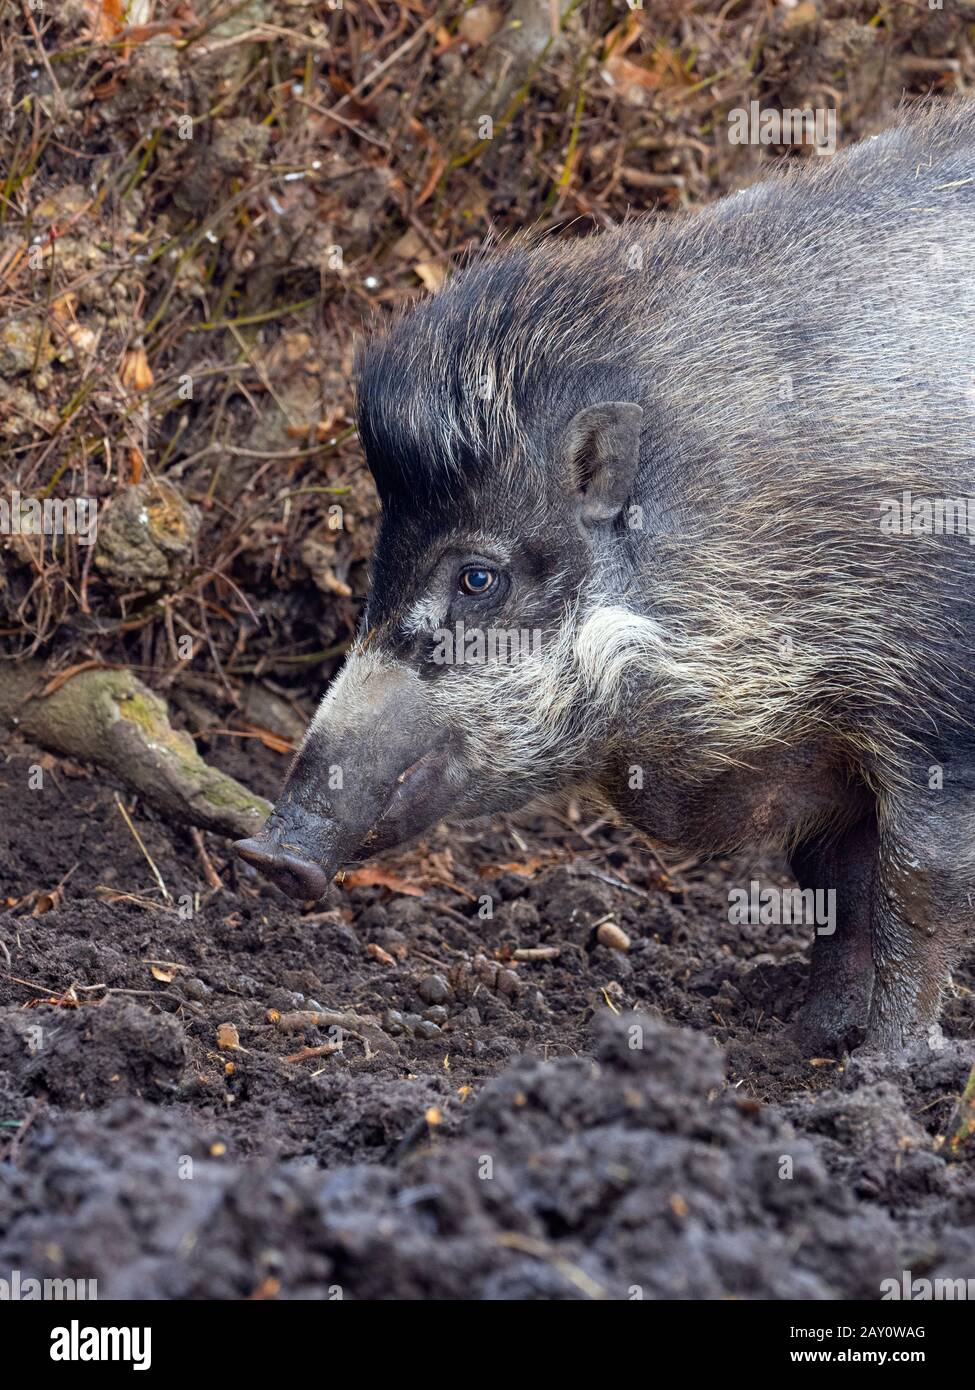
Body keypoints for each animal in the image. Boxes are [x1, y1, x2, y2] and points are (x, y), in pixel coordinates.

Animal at [235, 101, 975, 1054]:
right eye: (375, 566)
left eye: (478, 580)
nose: (268, 857)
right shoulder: (830, 749)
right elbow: (830, 880)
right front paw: (806, 1036)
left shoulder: (937, 725)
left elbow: (915, 889)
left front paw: (880, 1067)